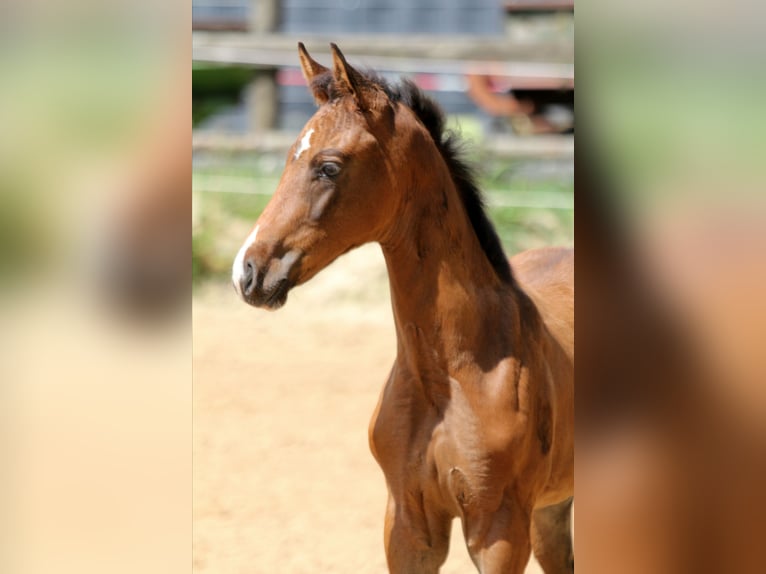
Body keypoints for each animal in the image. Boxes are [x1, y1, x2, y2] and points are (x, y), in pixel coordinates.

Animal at [231, 43, 574, 574]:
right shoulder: (408, 524)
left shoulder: (499, 530)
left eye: (329, 166)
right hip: (551, 511)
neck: (451, 373)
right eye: (289, 156)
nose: (248, 271)